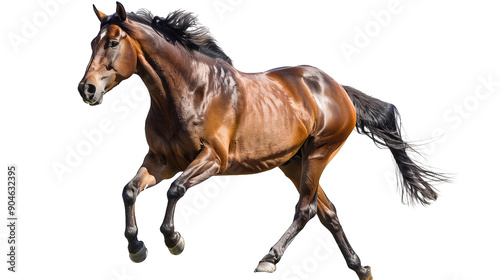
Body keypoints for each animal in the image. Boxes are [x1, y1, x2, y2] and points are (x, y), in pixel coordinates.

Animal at [79, 2, 450, 280]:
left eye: (112, 43)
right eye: (92, 43)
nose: (87, 89)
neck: (189, 91)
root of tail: (337, 88)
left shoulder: (212, 160)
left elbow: (175, 190)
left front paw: (173, 239)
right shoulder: (161, 161)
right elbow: (129, 190)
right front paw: (136, 248)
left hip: (318, 154)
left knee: (306, 209)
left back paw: (268, 259)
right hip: (294, 163)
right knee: (327, 212)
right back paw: (361, 269)